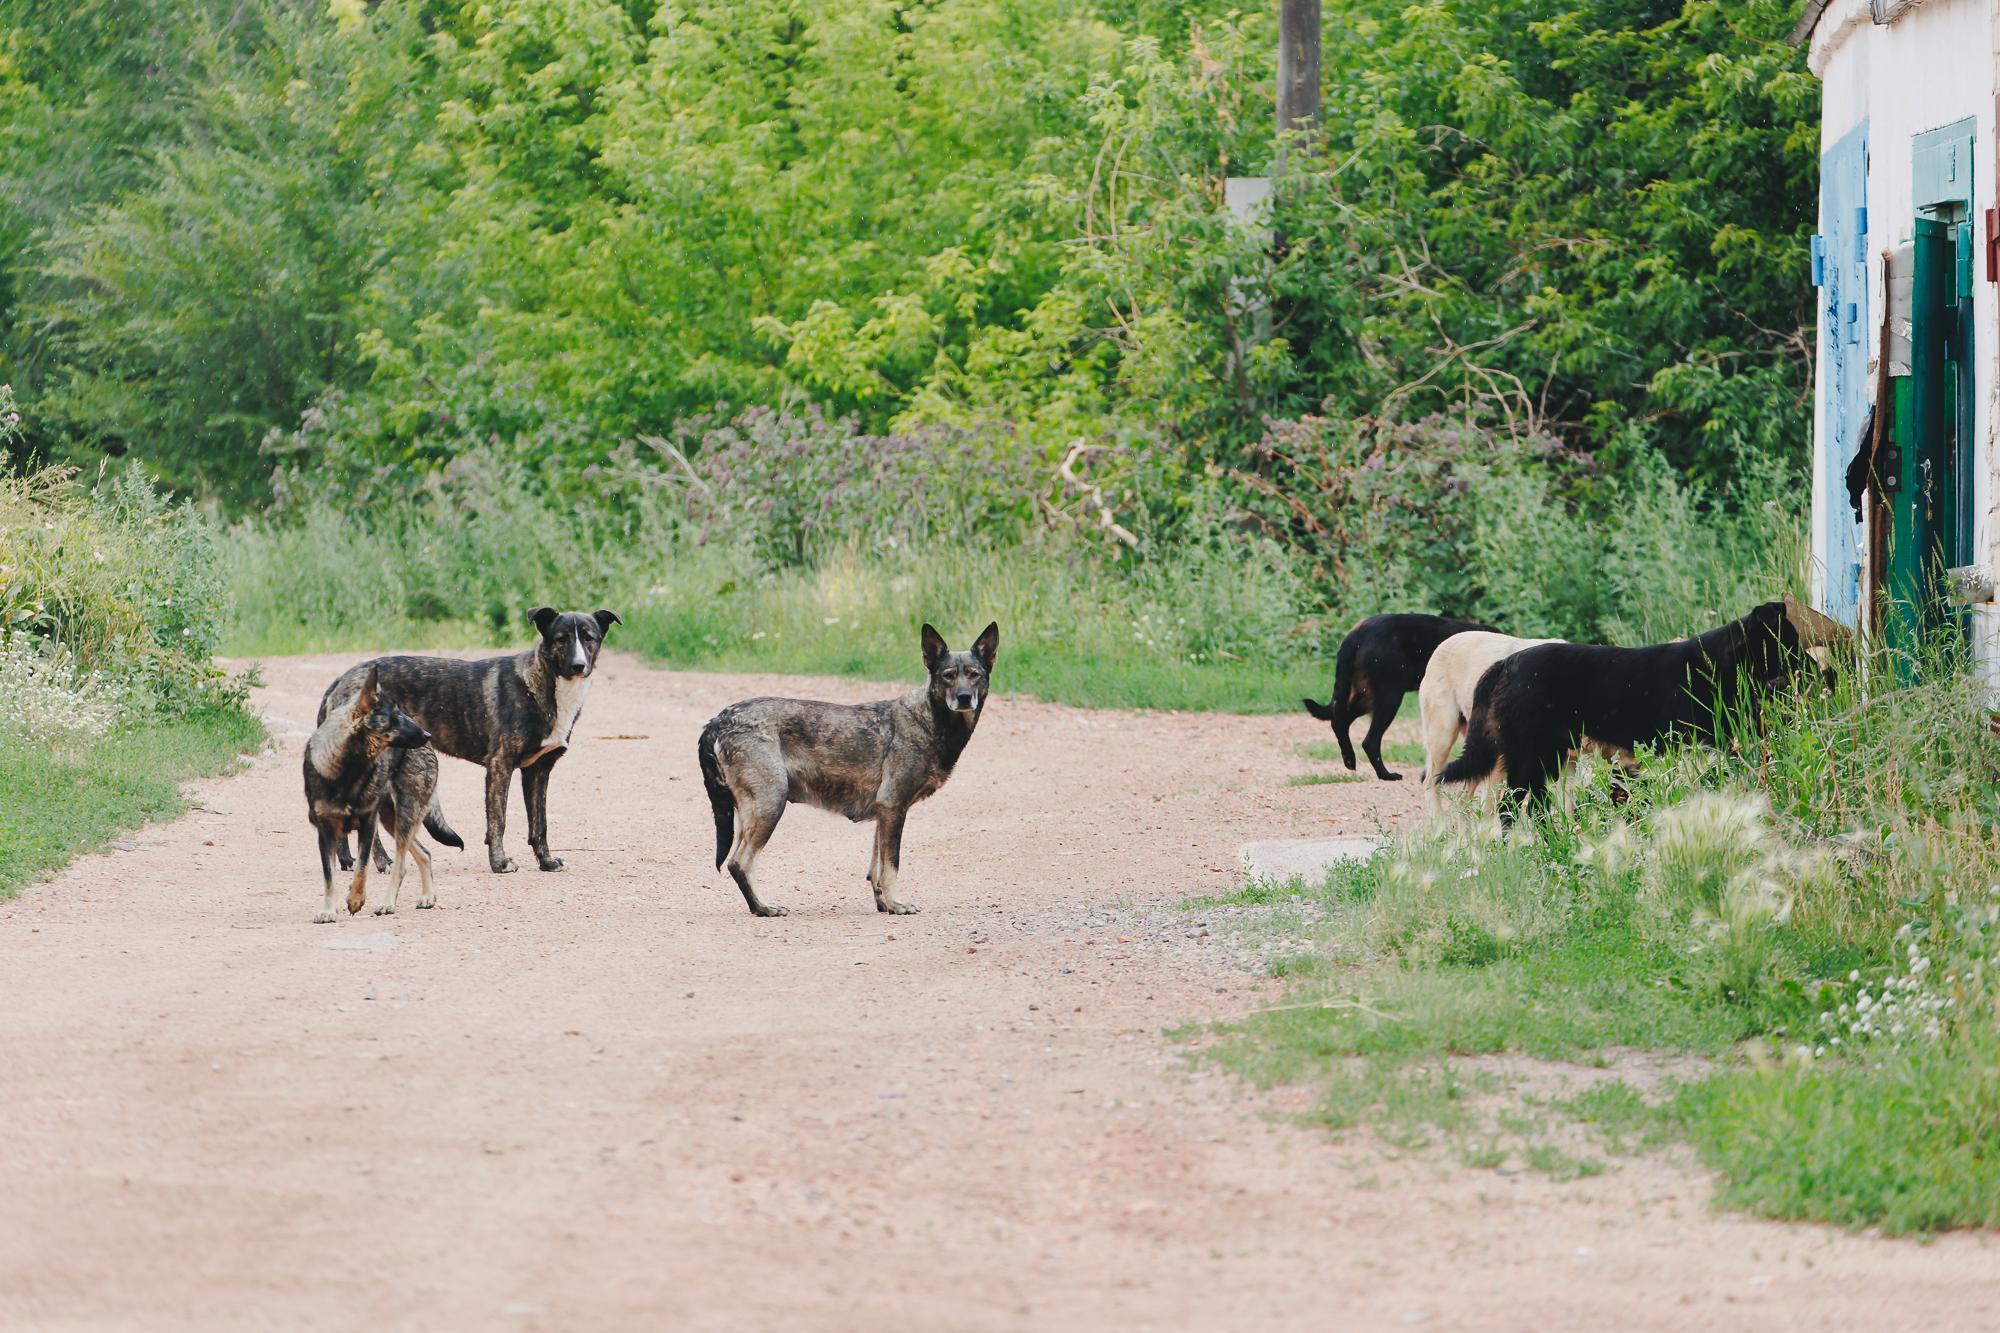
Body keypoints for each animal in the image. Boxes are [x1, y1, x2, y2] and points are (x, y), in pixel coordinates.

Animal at [300, 668, 460, 920]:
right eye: (394, 716)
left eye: (401, 712)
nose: (427, 734)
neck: (347, 770)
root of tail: (428, 748)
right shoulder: (325, 832)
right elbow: (329, 876)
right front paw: (328, 910)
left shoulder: (367, 825)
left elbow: (361, 867)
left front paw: (355, 899)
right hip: (390, 820)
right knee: (424, 853)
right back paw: (427, 897)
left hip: (404, 815)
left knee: (402, 865)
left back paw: (388, 903)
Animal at [1304, 612, 1496, 780]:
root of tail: (1356, 633)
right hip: (1390, 696)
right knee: (1369, 741)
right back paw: (1386, 775)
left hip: (1369, 696)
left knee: (1340, 721)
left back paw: (1350, 759)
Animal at [1440, 592, 1840, 820]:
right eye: (1787, 641)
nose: (1823, 671)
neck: (1717, 664)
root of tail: (1505, 664)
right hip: (1529, 754)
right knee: (1511, 805)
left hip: (1546, 757)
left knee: (1533, 804)